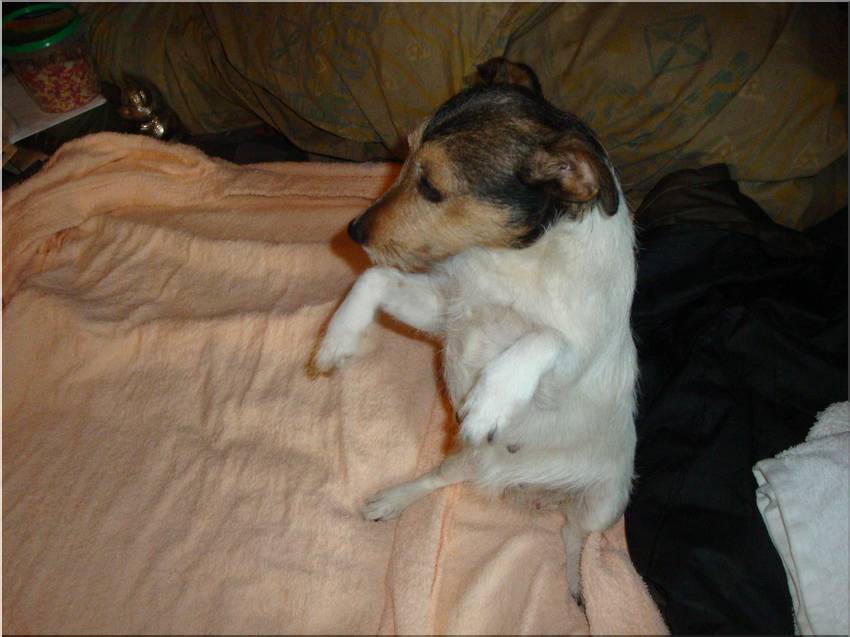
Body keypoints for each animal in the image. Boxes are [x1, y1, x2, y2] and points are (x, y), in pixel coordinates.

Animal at [311, 57, 638, 600]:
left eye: (432, 187)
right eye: (404, 155)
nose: (352, 232)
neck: (509, 261)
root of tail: (526, 490)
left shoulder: (564, 373)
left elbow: (545, 337)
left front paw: (491, 399)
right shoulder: (446, 311)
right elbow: (372, 277)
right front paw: (338, 338)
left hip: (606, 501)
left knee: (575, 534)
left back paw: (578, 583)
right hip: (465, 455)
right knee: (443, 480)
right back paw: (394, 499)